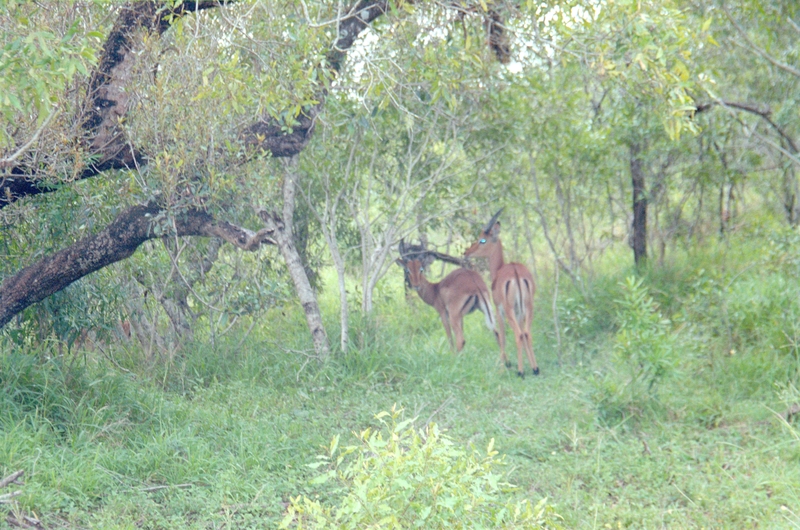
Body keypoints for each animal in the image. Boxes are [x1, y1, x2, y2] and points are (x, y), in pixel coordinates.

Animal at [462, 207, 536, 376]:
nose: (466, 252)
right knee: (527, 333)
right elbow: (524, 334)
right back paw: (536, 369)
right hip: (528, 308)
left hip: (508, 311)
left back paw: (520, 372)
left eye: (482, 239)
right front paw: (530, 365)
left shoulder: (498, 310)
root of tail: (516, 274)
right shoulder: (519, 312)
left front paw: (503, 368)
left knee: (517, 334)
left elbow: (502, 337)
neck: (499, 269)